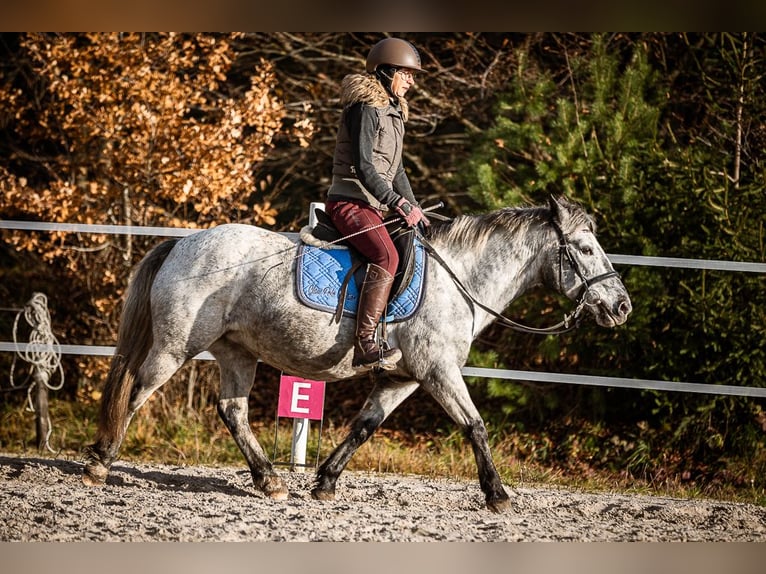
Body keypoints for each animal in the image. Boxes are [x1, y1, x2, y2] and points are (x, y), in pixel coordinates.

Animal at [82, 197, 632, 512]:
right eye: (585, 249)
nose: (621, 306)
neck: (460, 278)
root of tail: (182, 243)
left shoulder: (402, 377)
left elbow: (364, 426)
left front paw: (324, 482)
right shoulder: (438, 370)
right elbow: (475, 425)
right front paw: (497, 495)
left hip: (237, 352)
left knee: (232, 411)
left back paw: (270, 481)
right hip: (177, 345)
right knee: (136, 392)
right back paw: (100, 464)